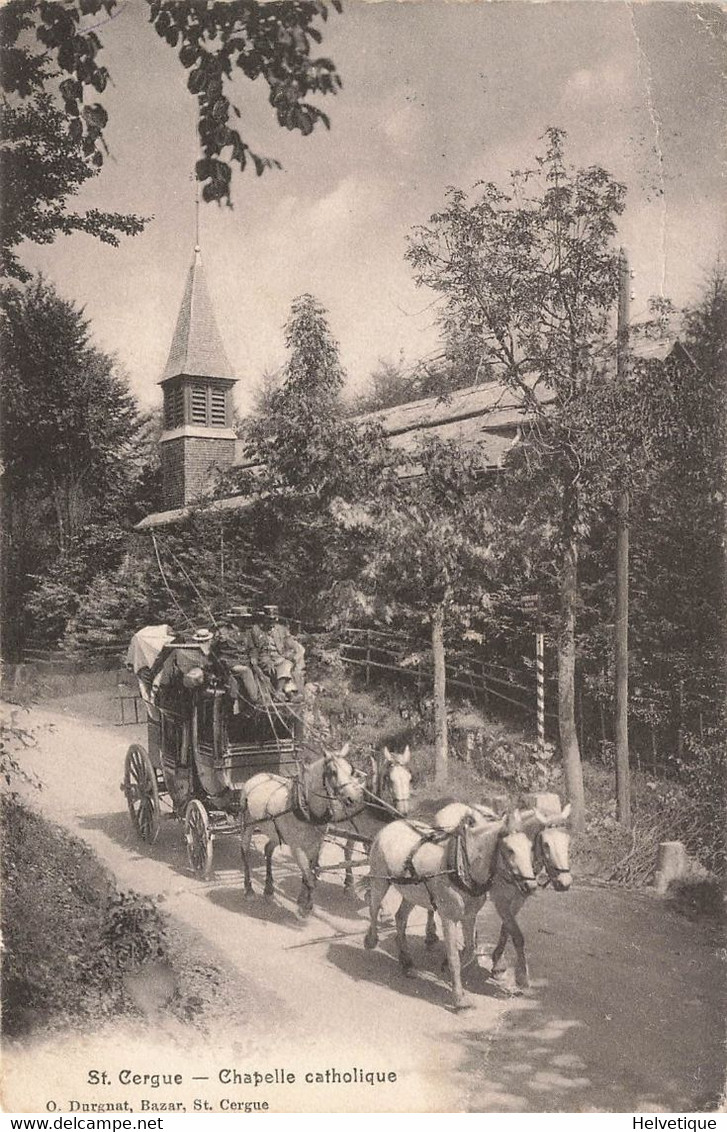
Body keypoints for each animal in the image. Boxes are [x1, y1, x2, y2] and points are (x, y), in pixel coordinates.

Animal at [242, 742, 364, 919]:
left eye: (351, 770)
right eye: (333, 772)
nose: (353, 798)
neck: (307, 809)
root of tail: (255, 777)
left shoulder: (316, 845)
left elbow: (309, 874)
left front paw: (304, 901)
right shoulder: (296, 848)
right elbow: (308, 875)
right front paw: (304, 907)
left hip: (275, 832)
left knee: (268, 849)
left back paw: (269, 889)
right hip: (248, 823)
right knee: (244, 849)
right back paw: (249, 889)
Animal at [360, 815, 532, 1009]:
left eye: (530, 847)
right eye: (510, 850)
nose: (530, 885)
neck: (462, 866)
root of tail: (391, 825)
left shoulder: (469, 916)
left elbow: (470, 951)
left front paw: (447, 971)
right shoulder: (448, 918)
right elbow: (454, 956)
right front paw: (459, 999)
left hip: (412, 893)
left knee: (400, 918)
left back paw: (407, 962)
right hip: (380, 880)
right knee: (373, 906)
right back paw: (371, 940)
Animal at [425, 801, 570, 987]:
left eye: (568, 842)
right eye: (546, 844)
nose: (565, 882)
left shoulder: (518, 899)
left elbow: (506, 929)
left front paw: (498, 963)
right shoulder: (500, 900)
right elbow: (517, 935)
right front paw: (521, 975)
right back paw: (431, 935)